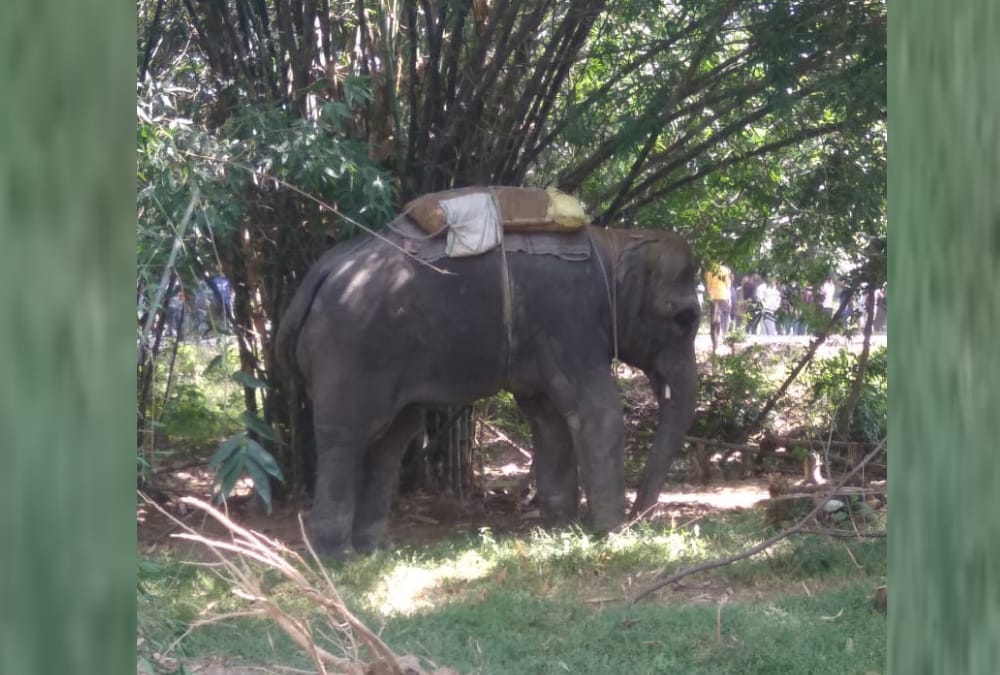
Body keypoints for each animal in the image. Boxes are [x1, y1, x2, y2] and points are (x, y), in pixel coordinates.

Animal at [275, 201, 700, 558]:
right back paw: (336, 557)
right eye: (684, 319)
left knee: (391, 438)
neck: (612, 242)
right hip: (348, 353)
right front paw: (611, 535)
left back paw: (372, 551)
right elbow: (598, 413)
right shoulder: (569, 322)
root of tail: (318, 275)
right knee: (346, 439)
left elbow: (548, 420)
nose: (641, 517)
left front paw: (560, 529)